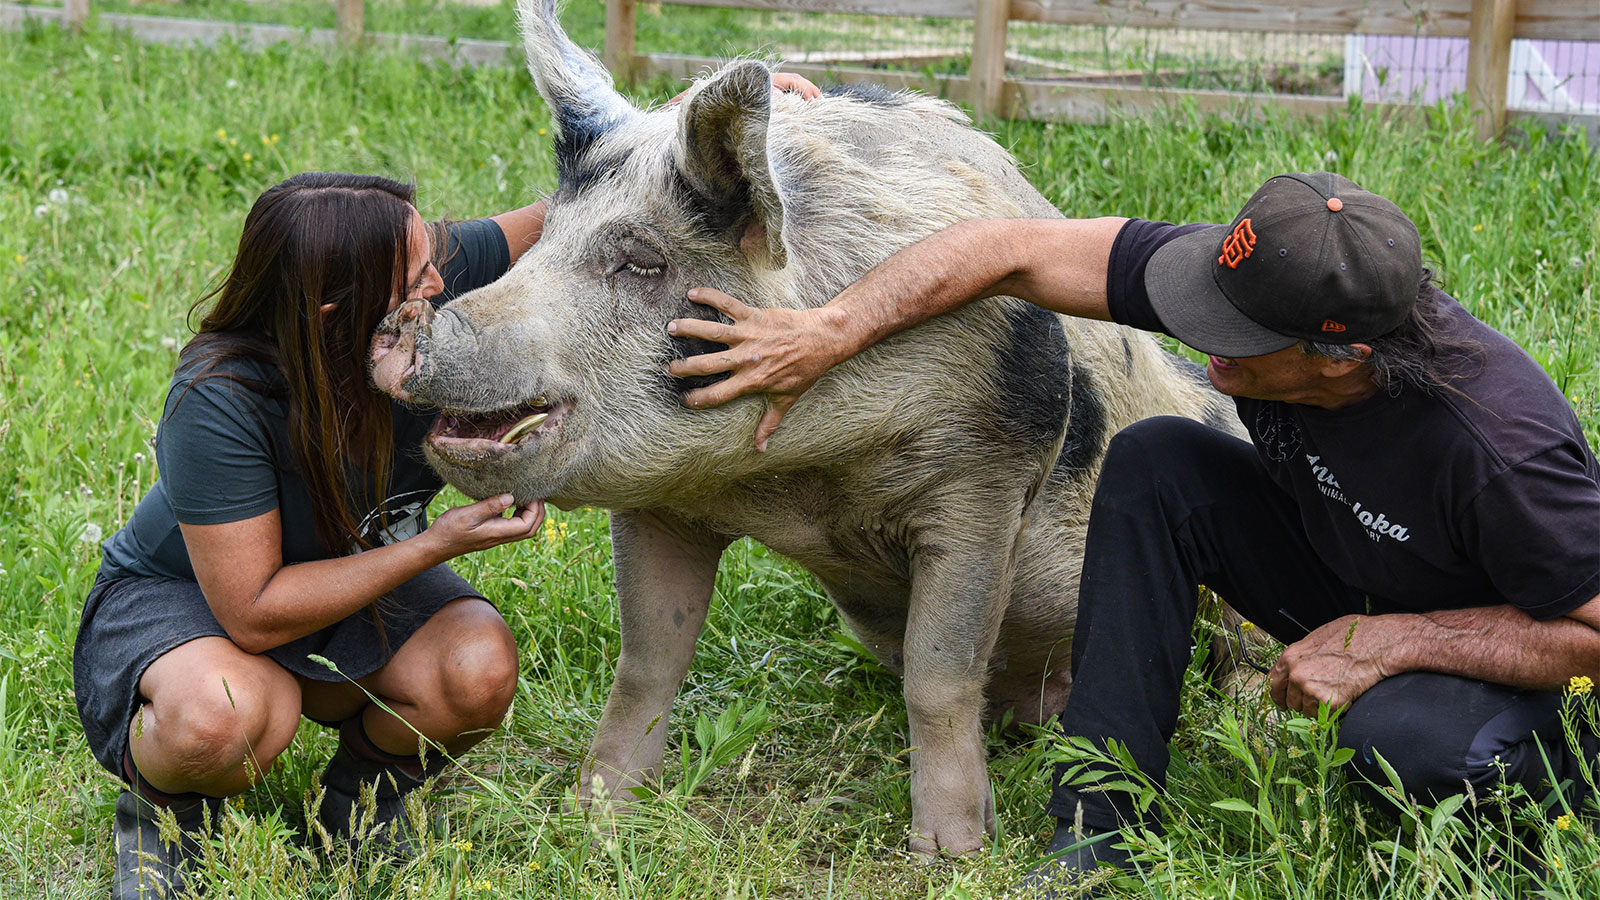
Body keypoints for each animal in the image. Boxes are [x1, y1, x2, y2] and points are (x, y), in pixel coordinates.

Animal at [370, 0, 1242, 855]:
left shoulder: (986, 479)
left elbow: (939, 675)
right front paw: (596, 823)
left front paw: (951, 855)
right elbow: (649, 658)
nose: (421, 329)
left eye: (642, 261)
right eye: (546, 235)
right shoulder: (659, 504)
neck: (796, 479)